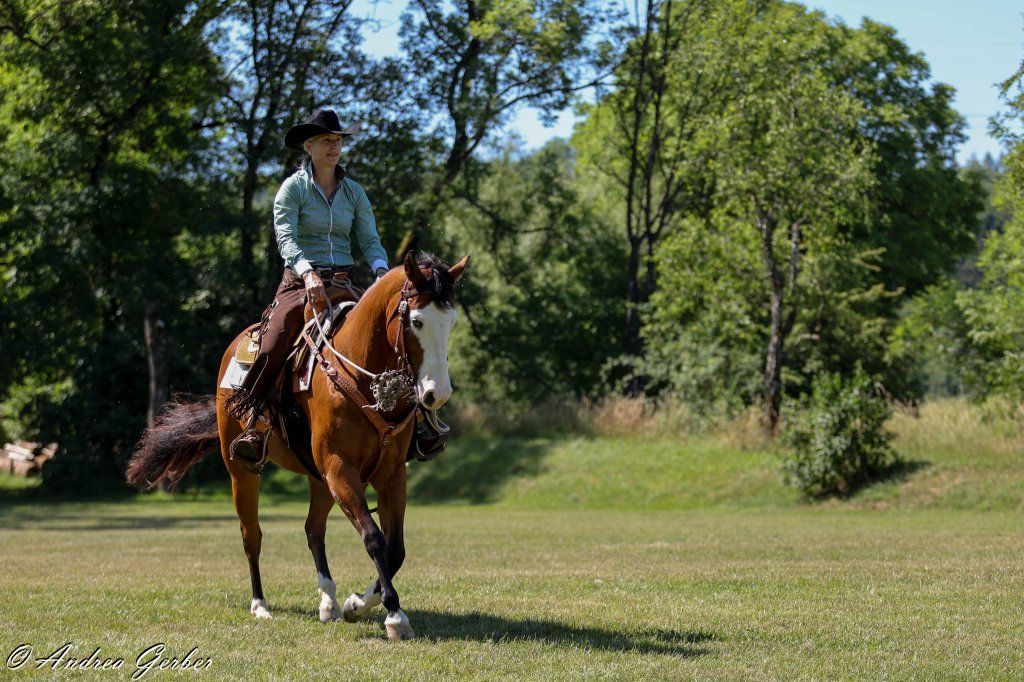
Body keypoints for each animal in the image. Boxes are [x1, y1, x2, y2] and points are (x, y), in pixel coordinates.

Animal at [126, 251, 469, 641]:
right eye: (416, 321)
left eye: (451, 321)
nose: (438, 394)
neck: (358, 375)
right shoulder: (339, 468)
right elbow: (374, 539)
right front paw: (394, 615)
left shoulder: (390, 474)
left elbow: (395, 549)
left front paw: (355, 603)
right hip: (243, 471)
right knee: (252, 535)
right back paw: (260, 605)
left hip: (318, 479)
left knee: (313, 530)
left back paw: (328, 601)